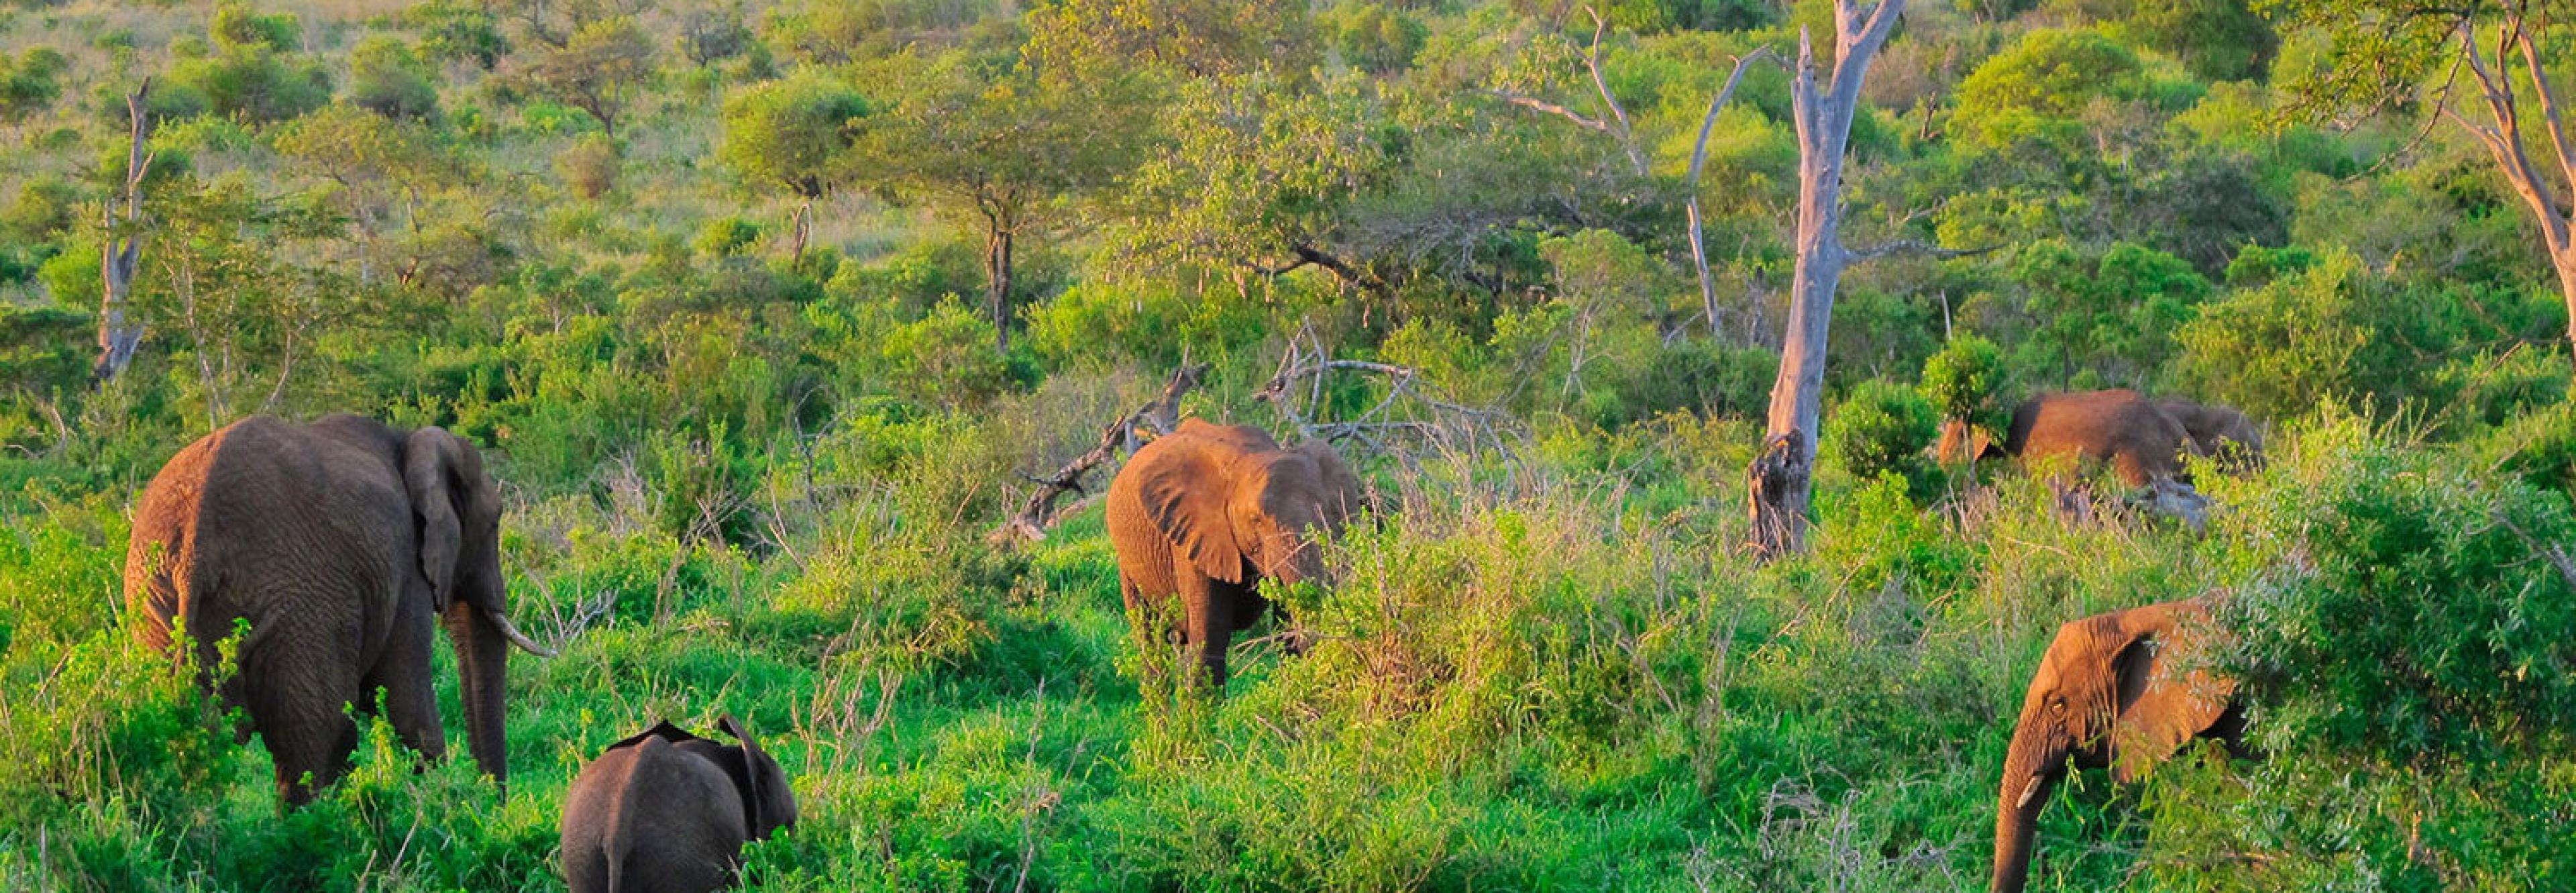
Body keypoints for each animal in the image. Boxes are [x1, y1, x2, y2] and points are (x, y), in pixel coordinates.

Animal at [125, 414, 552, 805]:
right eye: (495, 521)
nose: (495, 806)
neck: (408, 439)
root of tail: (195, 548)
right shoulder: (404, 567)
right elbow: (405, 704)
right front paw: (444, 806)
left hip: (155, 606)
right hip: (302, 609)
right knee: (316, 740)